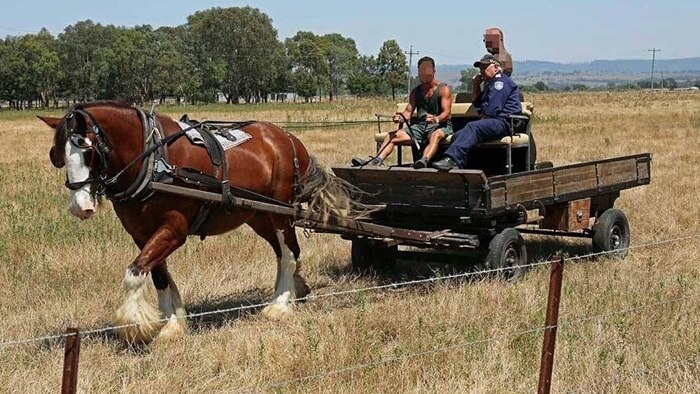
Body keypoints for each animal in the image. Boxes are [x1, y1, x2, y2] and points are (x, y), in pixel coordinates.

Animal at [41, 101, 352, 344]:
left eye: (88, 150)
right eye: (57, 155)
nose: (79, 207)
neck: (154, 160)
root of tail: (289, 139)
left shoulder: (174, 230)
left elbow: (134, 272)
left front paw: (138, 326)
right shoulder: (140, 234)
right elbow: (158, 276)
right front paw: (172, 324)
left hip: (280, 212)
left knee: (287, 254)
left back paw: (279, 306)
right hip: (259, 215)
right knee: (285, 252)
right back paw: (293, 291)